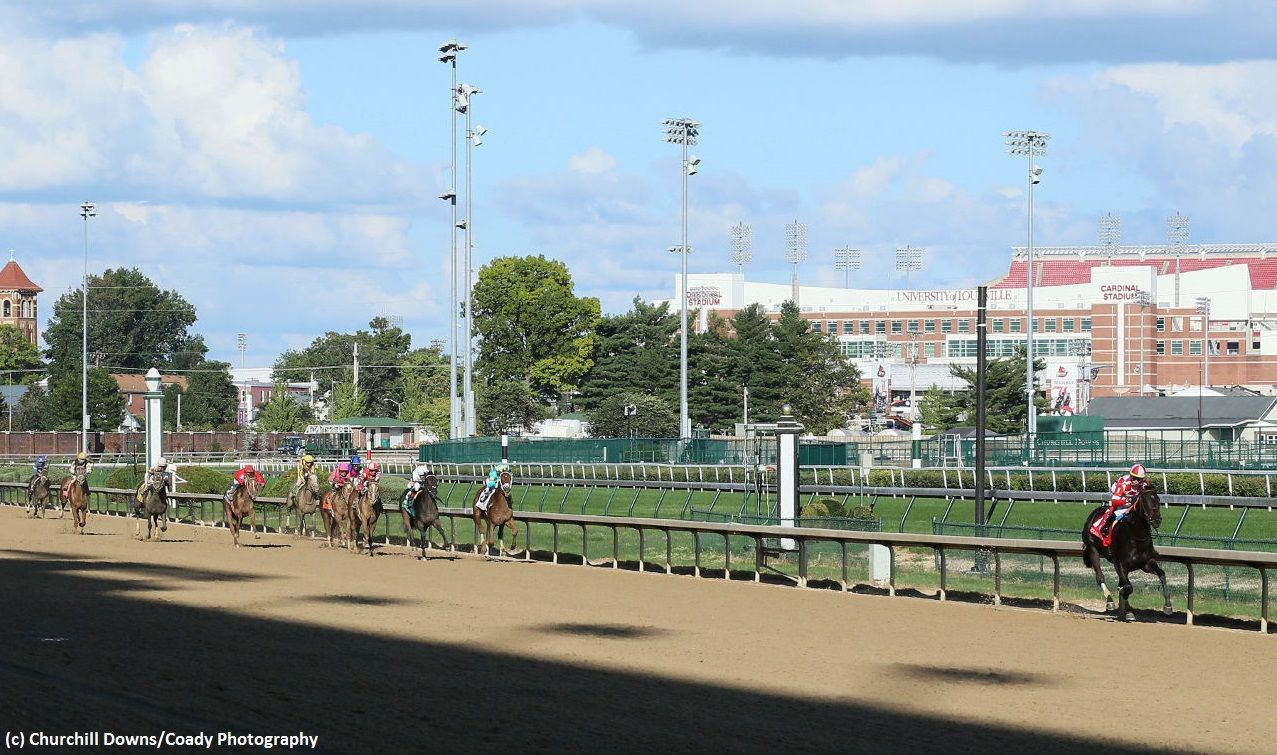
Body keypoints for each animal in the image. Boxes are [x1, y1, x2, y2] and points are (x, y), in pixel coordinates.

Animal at [1082, 488, 1169, 623]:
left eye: (1158, 499)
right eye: (1145, 501)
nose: (1157, 520)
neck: (1136, 538)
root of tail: (1094, 513)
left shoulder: (1147, 564)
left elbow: (1162, 575)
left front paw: (1168, 606)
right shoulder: (1120, 563)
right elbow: (1128, 587)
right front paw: (1127, 610)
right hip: (1093, 549)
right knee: (1100, 577)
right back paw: (1110, 601)